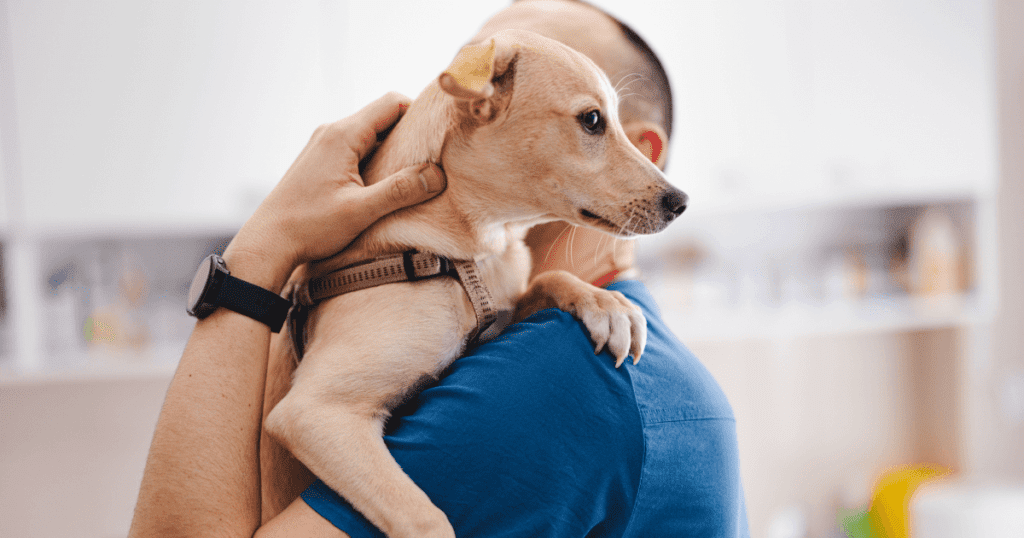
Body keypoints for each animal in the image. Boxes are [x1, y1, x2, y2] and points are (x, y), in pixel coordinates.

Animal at [262, 29, 688, 536]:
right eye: (592, 120)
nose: (681, 202)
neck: (472, 251)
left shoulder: (506, 308)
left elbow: (549, 277)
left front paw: (606, 305)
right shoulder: (315, 413)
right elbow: (426, 518)